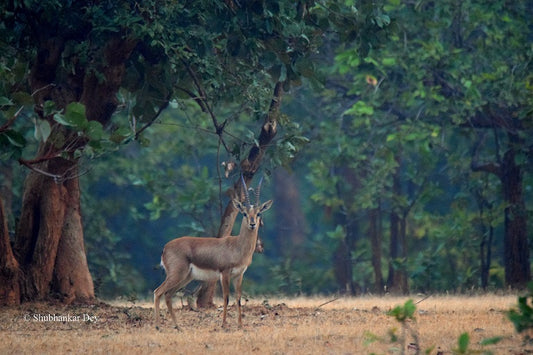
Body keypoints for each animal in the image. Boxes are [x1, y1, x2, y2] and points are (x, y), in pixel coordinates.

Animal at [153, 178, 270, 330]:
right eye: (244, 213)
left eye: (258, 213)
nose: (252, 224)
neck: (237, 246)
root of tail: (165, 248)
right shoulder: (225, 273)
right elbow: (226, 297)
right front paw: (224, 324)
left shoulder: (239, 275)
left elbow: (238, 298)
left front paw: (240, 325)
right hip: (176, 275)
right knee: (158, 292)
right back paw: (158, 326)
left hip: (185, 277)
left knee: (167, 295)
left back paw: (178, 326)